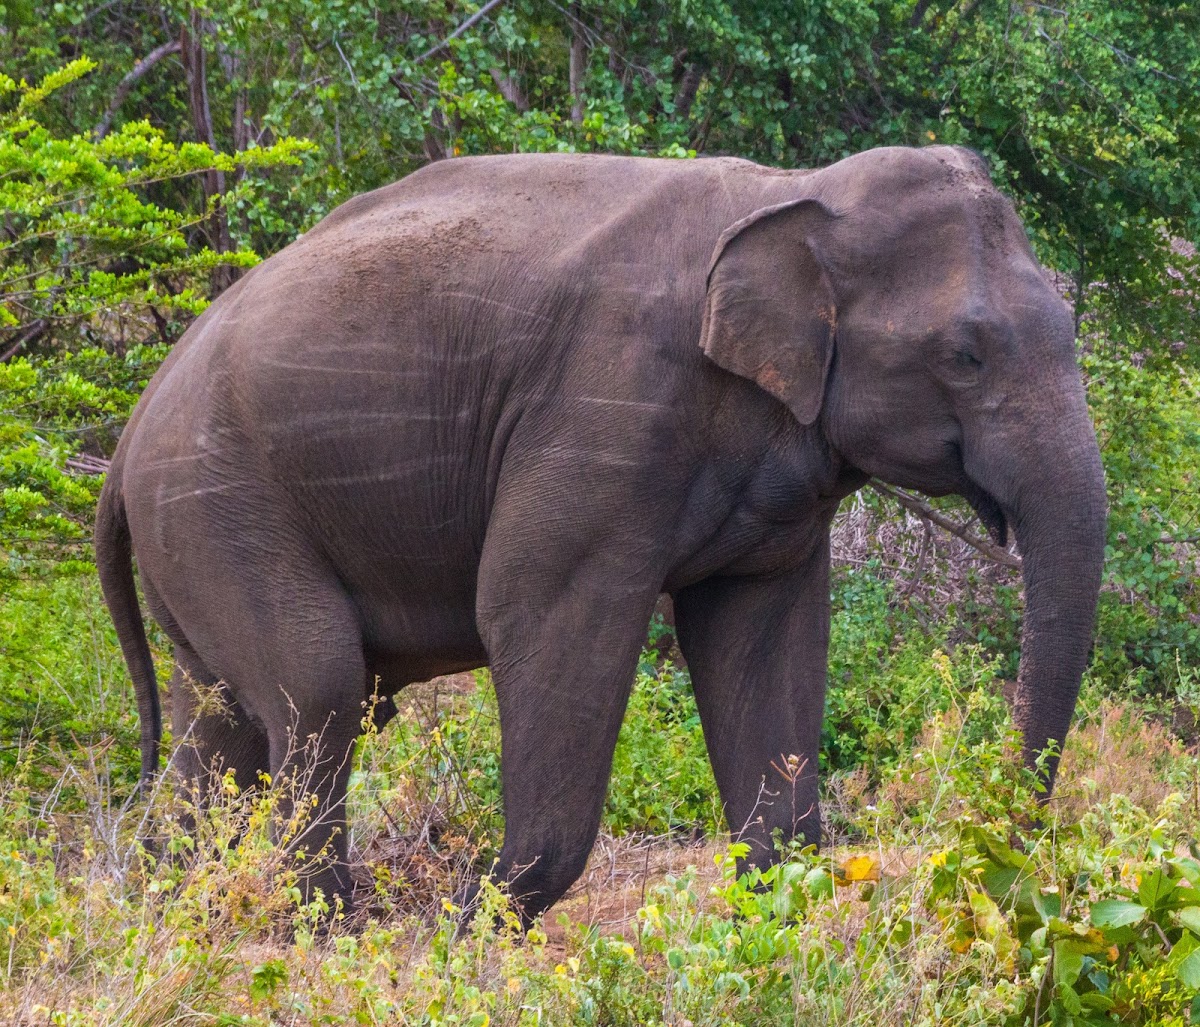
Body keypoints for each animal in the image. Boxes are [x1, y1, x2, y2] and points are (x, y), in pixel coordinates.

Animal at [93, 144, 1104, 921]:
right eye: (965, 355)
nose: (989, 867)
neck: (796, 191)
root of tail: (127, 439)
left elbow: (764, 637)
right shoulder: (608, 407)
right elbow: (541, 614)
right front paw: (469, 930)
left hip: (197, 527)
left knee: (218, 721)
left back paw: (168, 910)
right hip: (219, 500)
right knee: (316, 688)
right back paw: (330, 932)